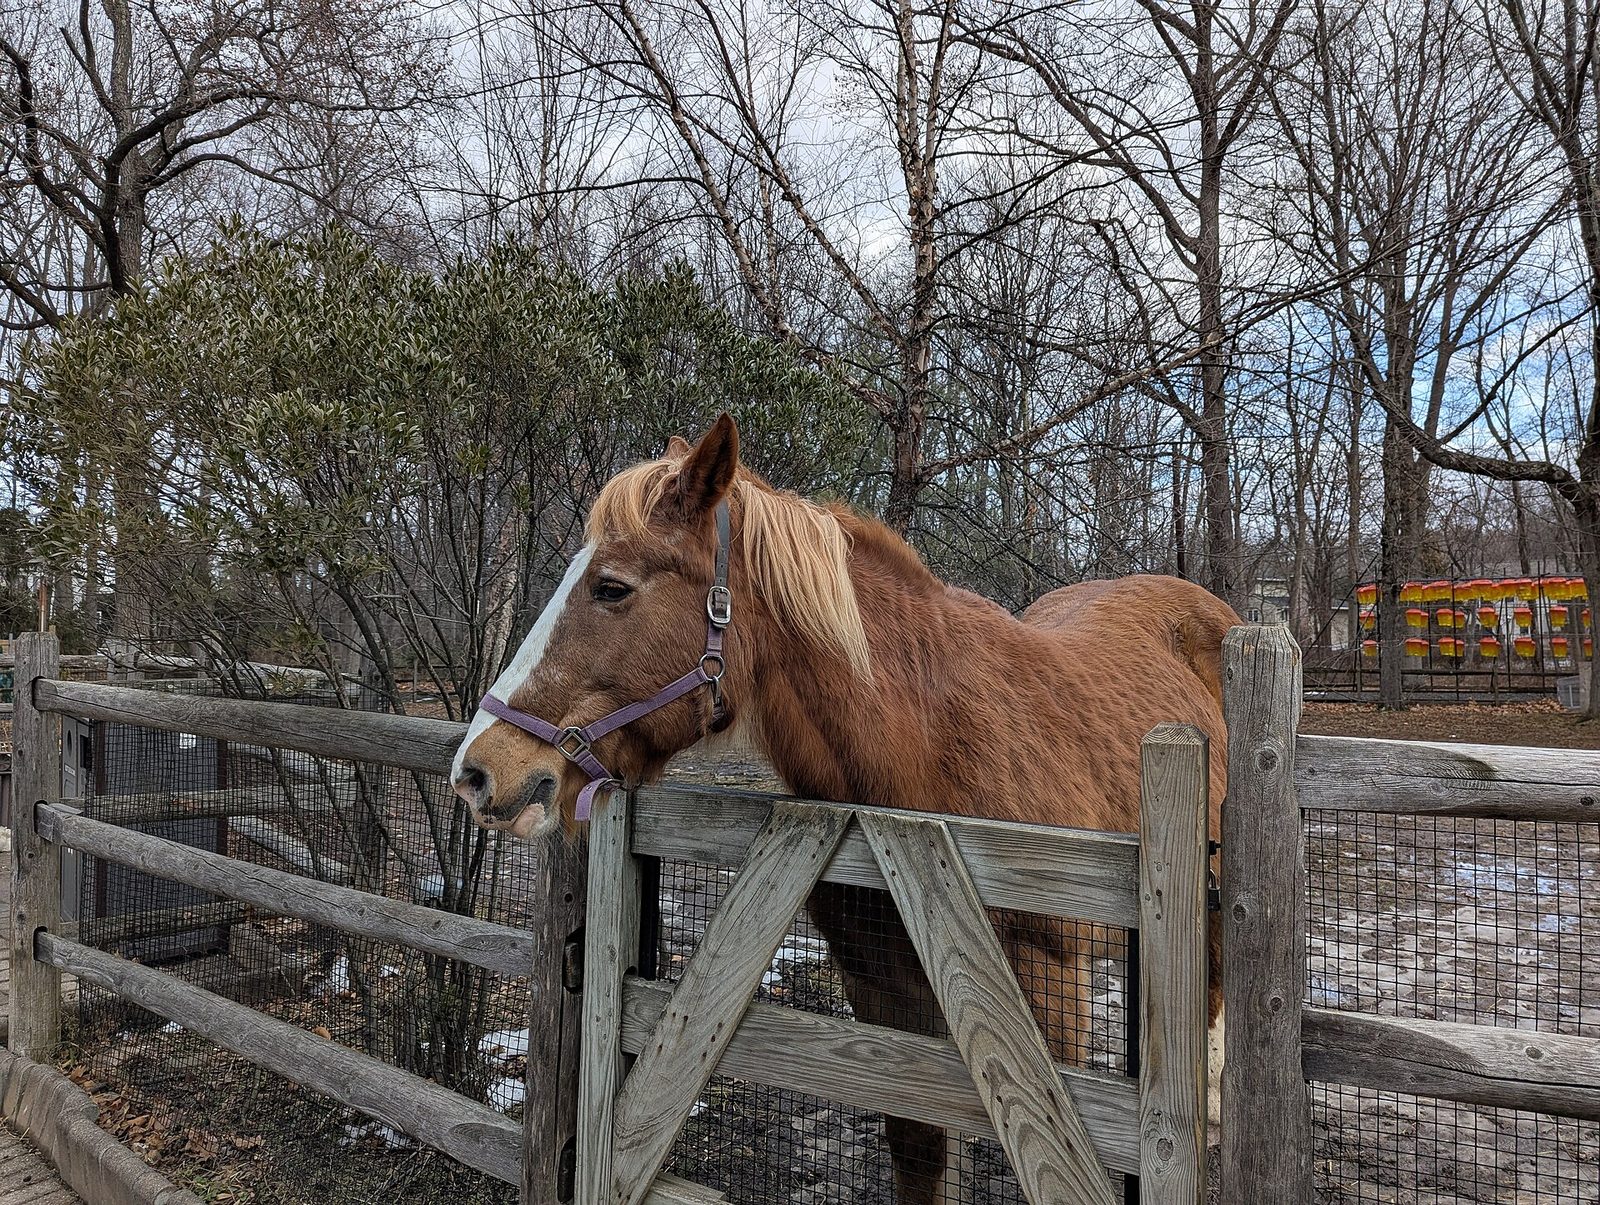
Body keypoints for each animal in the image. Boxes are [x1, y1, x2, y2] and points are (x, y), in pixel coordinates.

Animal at [451, 414, 1236, 1203]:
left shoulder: (1055, 992)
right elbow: (920, 1148)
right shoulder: (884, 991)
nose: (477, 772)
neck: (925, 766)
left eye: (611, 587)